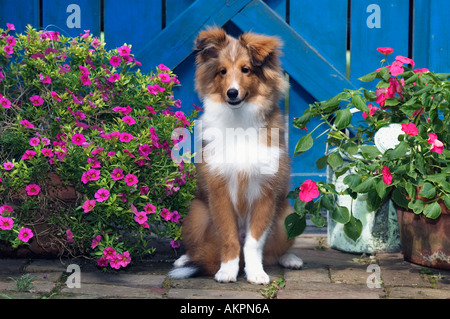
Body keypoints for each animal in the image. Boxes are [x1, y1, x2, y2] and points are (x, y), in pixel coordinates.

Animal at [169, 26, 302, 284]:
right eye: (222, 71)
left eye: (246, 69)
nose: (232, 93)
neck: (239, 121)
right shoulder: (219, 190)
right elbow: (229, 237)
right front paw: (227, 271)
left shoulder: (265, 193)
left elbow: (253, 243)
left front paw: (256, 273)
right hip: (195, 214)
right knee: (201, 248)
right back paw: (184, 259)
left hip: (286, 217)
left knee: (274, 252)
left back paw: (290, 259)